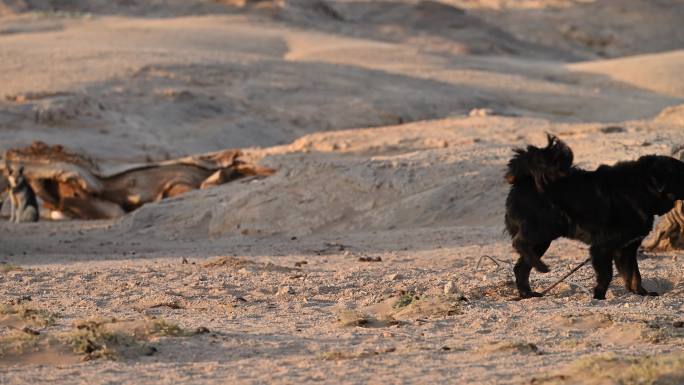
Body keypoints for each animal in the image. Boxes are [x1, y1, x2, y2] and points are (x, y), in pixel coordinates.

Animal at [502, 135, 684, 300]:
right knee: (519, 243)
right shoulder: (602, 247)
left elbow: (633, 275)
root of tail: (524, 179)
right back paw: (541, 268)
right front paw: (599, 297)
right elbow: (606, 276)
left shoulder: (627, 248)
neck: (641, 189)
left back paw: (527, 293)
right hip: (546, 229)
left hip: (542, 240)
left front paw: (641, 293)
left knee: (521, 267)